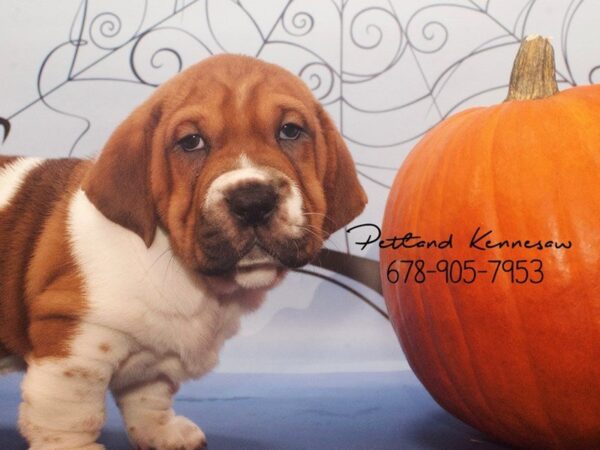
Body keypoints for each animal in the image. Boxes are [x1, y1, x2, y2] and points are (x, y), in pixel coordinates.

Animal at [0, 53, 366, 450]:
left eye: (290, 131)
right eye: (191, 142)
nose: (253, 201)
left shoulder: (155, 359)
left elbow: (148, 399)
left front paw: (163, 433)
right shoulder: (74, 345)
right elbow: (71, 415)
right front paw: (76, 447)